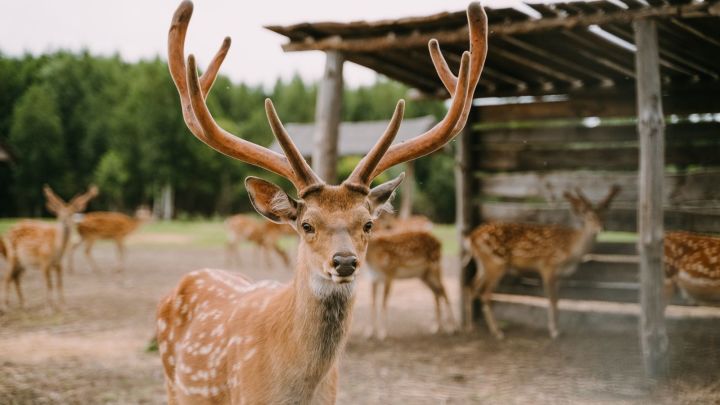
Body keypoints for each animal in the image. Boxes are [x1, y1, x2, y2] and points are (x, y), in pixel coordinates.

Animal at [464, 185, 620, 340]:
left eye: (605, 215)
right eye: (589, 216)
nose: (601, 227)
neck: (571, 251)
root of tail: (471, 238)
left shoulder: (559, 274)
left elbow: (557, 299)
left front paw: (556, 328)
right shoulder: (548, 265)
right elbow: (551, 299)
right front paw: (554, 331)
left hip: (483, 265)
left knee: (471, 287)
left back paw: (470, 327)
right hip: (496, 263)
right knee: (485, 294)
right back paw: (497, 332)